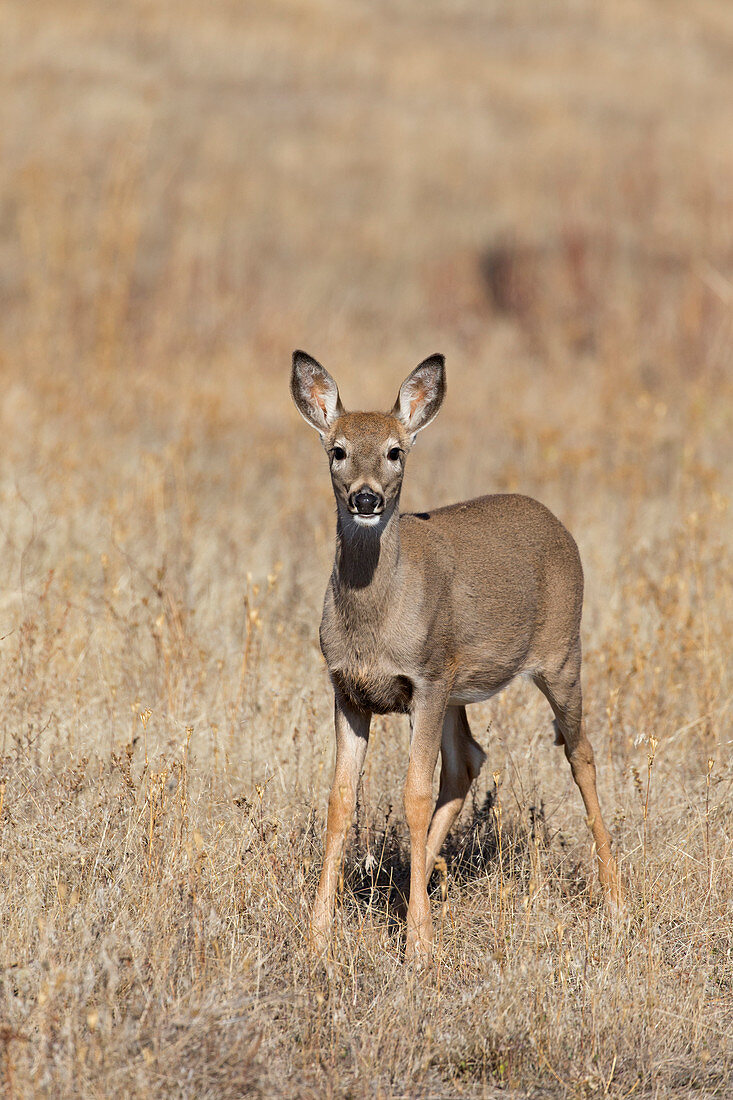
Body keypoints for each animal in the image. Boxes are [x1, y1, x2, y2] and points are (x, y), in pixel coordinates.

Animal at [288, 352, 620, 963]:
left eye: (396, 450)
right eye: (337, 449)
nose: (366, 498)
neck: (375, 624)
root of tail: (557, 523)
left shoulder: (424, 678)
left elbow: (414, 795)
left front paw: (419, 943)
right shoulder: (348, 690)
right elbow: (341, 801)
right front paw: (318, 935)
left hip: (561, 653)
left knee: (580, 751)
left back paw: (614, 898)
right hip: (459, 685)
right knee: (469, 759)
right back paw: (415, 883)